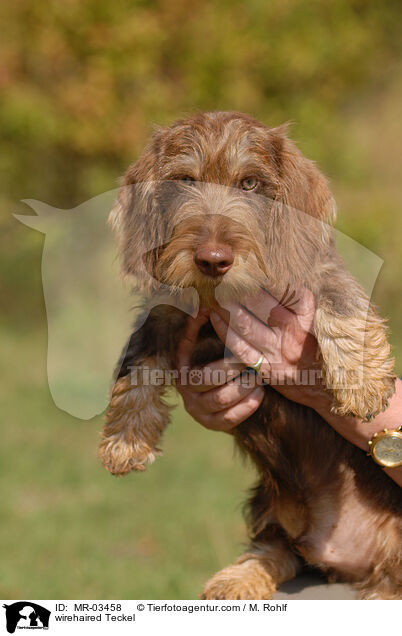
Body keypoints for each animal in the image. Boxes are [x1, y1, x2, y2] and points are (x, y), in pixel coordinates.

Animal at [98, 112, 402, 600]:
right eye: (185, 180)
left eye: (251, 184)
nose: (212, 259)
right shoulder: (164, 310)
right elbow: (137, 364)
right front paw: (126, 439)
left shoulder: (318, 273)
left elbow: (342, 303)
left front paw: (362, 384)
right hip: (272, 507)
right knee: (280, 549)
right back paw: (238, 579)